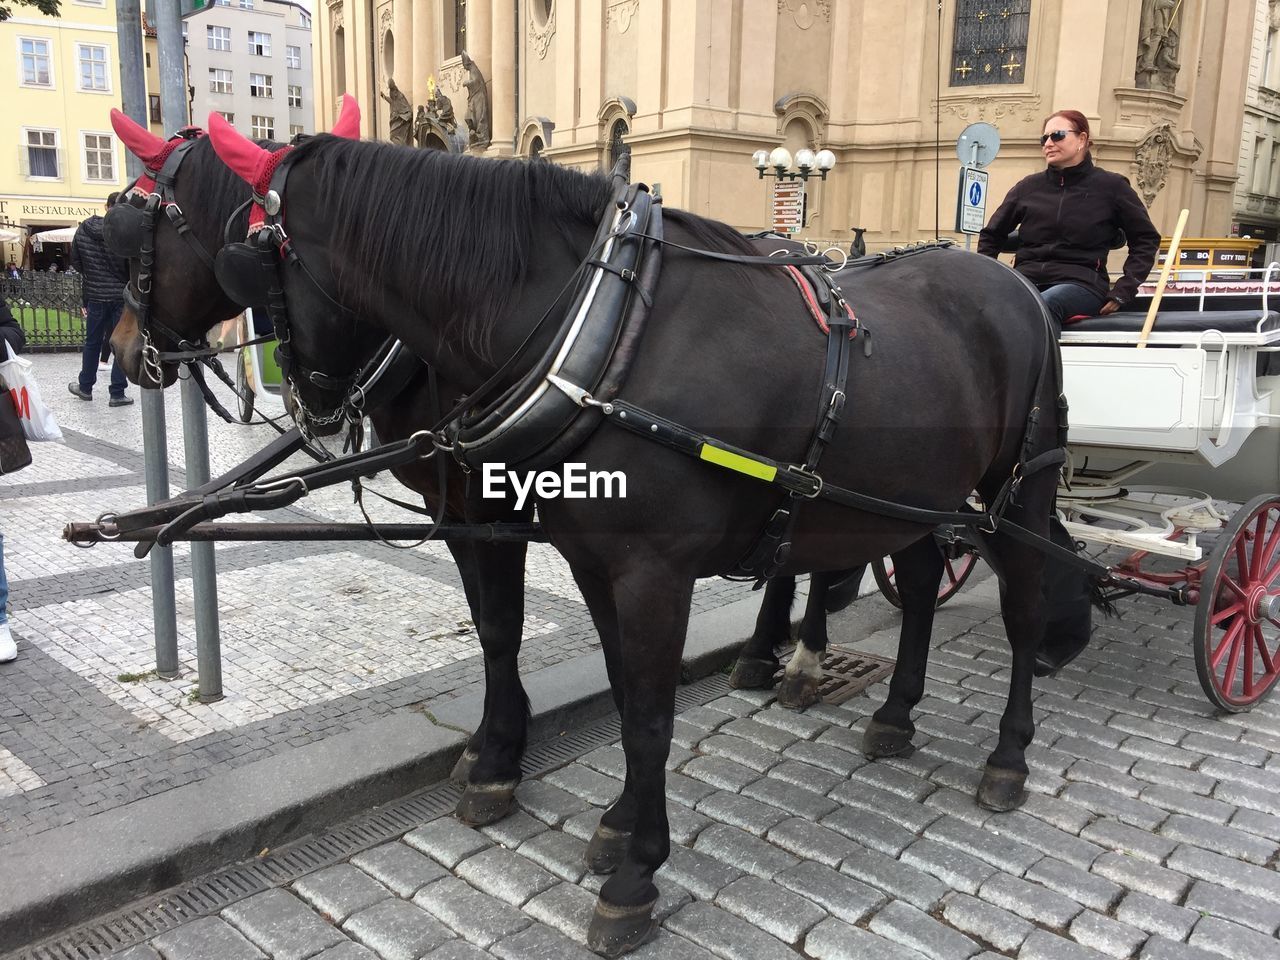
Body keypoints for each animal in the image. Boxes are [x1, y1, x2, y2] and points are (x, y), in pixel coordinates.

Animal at [207, 116, 1070, 957]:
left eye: (248, 264)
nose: (310, 408)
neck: (604, 336)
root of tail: (1013, 283)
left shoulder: (653, 572)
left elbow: (652, 718)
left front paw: (635, 876)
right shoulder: (593, 563)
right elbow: (623, 696)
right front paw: (620, 824)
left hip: (1017, 492)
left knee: (1028, 605)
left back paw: (1009, 755)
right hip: (914, 497)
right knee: (922, 581)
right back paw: (895, 715)